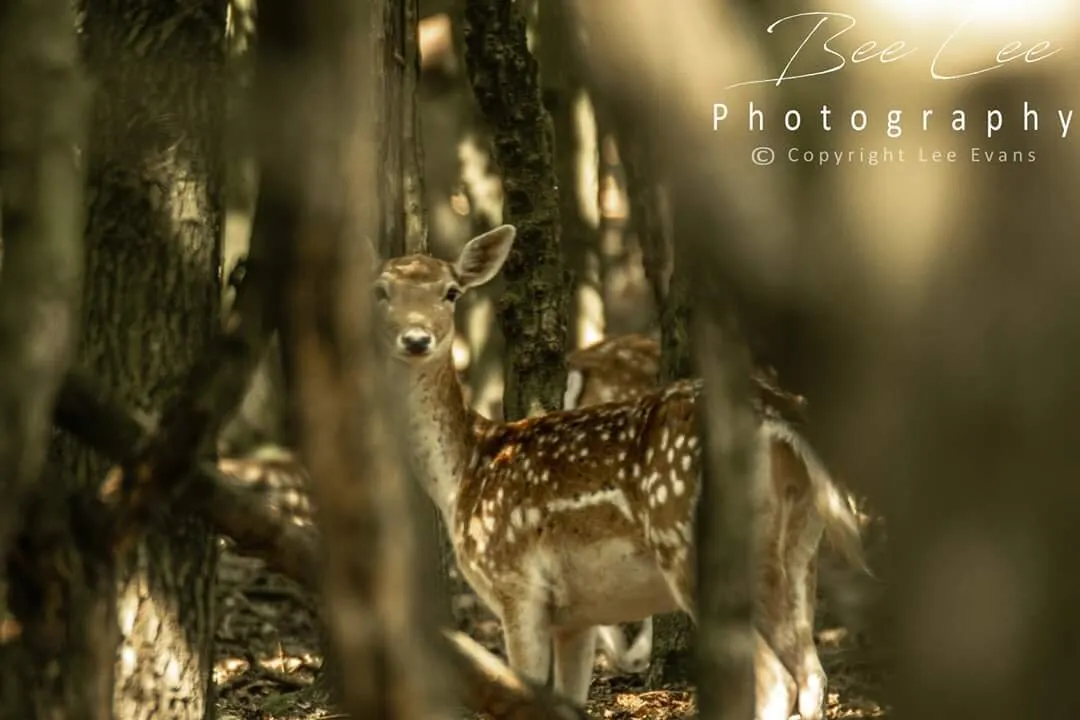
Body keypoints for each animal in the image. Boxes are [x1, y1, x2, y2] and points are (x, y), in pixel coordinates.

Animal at [375, 225, 869, 720]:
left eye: (451, 291)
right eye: (381, 291)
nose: (416, 339)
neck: (466, 471)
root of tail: (777, 416)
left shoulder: (515, 583)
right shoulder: (574, 617)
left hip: (688, 542)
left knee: (777, 680)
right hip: (800, 545)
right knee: (811, 674)